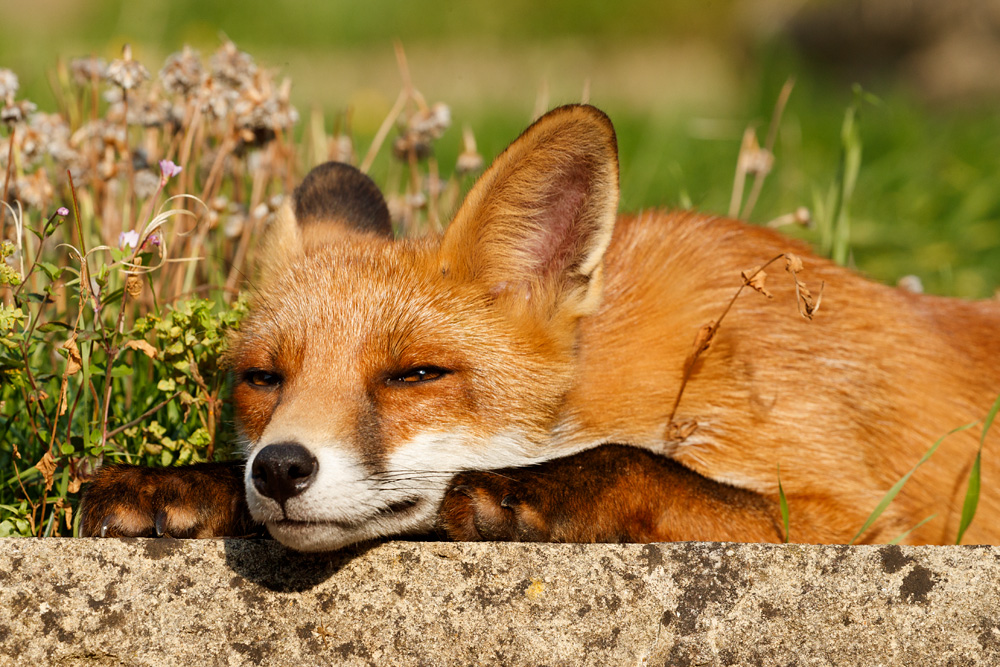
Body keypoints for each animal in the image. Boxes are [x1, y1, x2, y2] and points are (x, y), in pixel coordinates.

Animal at [81, 104, 1000, 551]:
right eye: (263, 378)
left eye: (417, 374)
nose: (280, 469)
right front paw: (173, 487)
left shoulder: (852, 516)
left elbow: (639, 465)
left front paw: (529, 492)